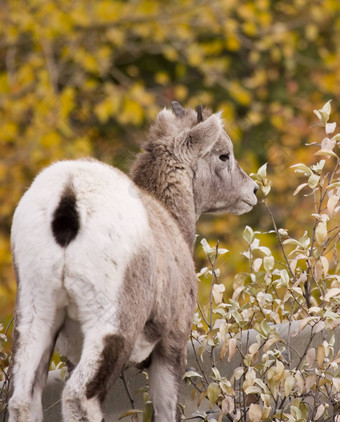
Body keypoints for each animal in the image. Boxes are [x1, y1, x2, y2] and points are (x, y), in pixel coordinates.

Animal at [8, 100, 258, 420]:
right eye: (223, 154)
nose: (253, 191)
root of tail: (71, 193)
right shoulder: (172, 345)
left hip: (36, 317)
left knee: (23, 401)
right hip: (111, 327)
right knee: (79, 398)